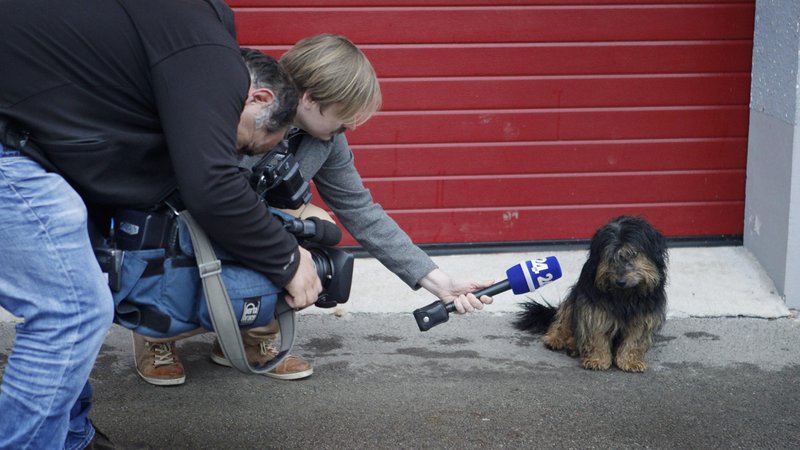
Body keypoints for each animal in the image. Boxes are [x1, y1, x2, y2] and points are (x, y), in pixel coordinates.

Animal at [512, 215, 668, 372]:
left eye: (633, 254)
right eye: (609, 257)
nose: (620, 281)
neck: (624, 295)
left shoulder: (646, 313)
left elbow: (635, 338)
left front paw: (630, 360)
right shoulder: (593, 306)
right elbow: (596, 332)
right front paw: (597, 359)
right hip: (574, 297)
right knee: (563, 320)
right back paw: (558, 340)